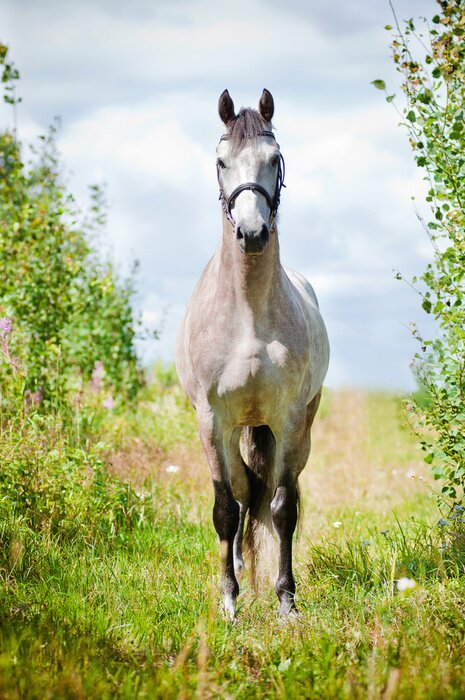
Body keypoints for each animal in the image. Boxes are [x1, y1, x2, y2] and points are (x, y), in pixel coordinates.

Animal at [176, 89, 329, 618]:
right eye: (221, 161)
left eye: (274, 159)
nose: (253, 233)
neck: (247, 314)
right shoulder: (211, 420)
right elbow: (226, 507)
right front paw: (229, 600)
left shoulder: (287, 418)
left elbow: (282, 509)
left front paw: (285, 600)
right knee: (242, 492)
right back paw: (240, 569)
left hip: (294, 431)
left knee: (276, 492)